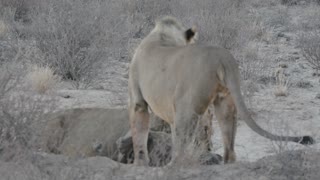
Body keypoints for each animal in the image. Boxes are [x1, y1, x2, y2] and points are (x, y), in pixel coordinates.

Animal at [127, 16, 312, 166]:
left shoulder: (139, 100)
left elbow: (139, 132)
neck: (163, 35)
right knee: (229, 144)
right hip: (225, 100)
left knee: (182, 145)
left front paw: (140, 164)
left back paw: (173, 166)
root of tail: (222, 56)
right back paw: (226, 162)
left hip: (186, 107)